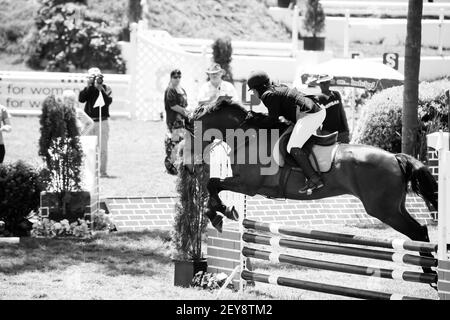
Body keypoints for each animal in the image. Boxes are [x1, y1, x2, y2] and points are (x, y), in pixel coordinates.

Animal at [181, 99, 438, 272]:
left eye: (190, 135)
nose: (187, 167)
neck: (247, 137)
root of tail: (396, 157)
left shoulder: (248, 185)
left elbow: (212, 184)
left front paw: (220, 212)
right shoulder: (244, 184)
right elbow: (213, 186)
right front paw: (220, 212)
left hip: (383, 209)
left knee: (418, 231)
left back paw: (429, 273)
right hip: (395, 206)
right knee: (420, 231)